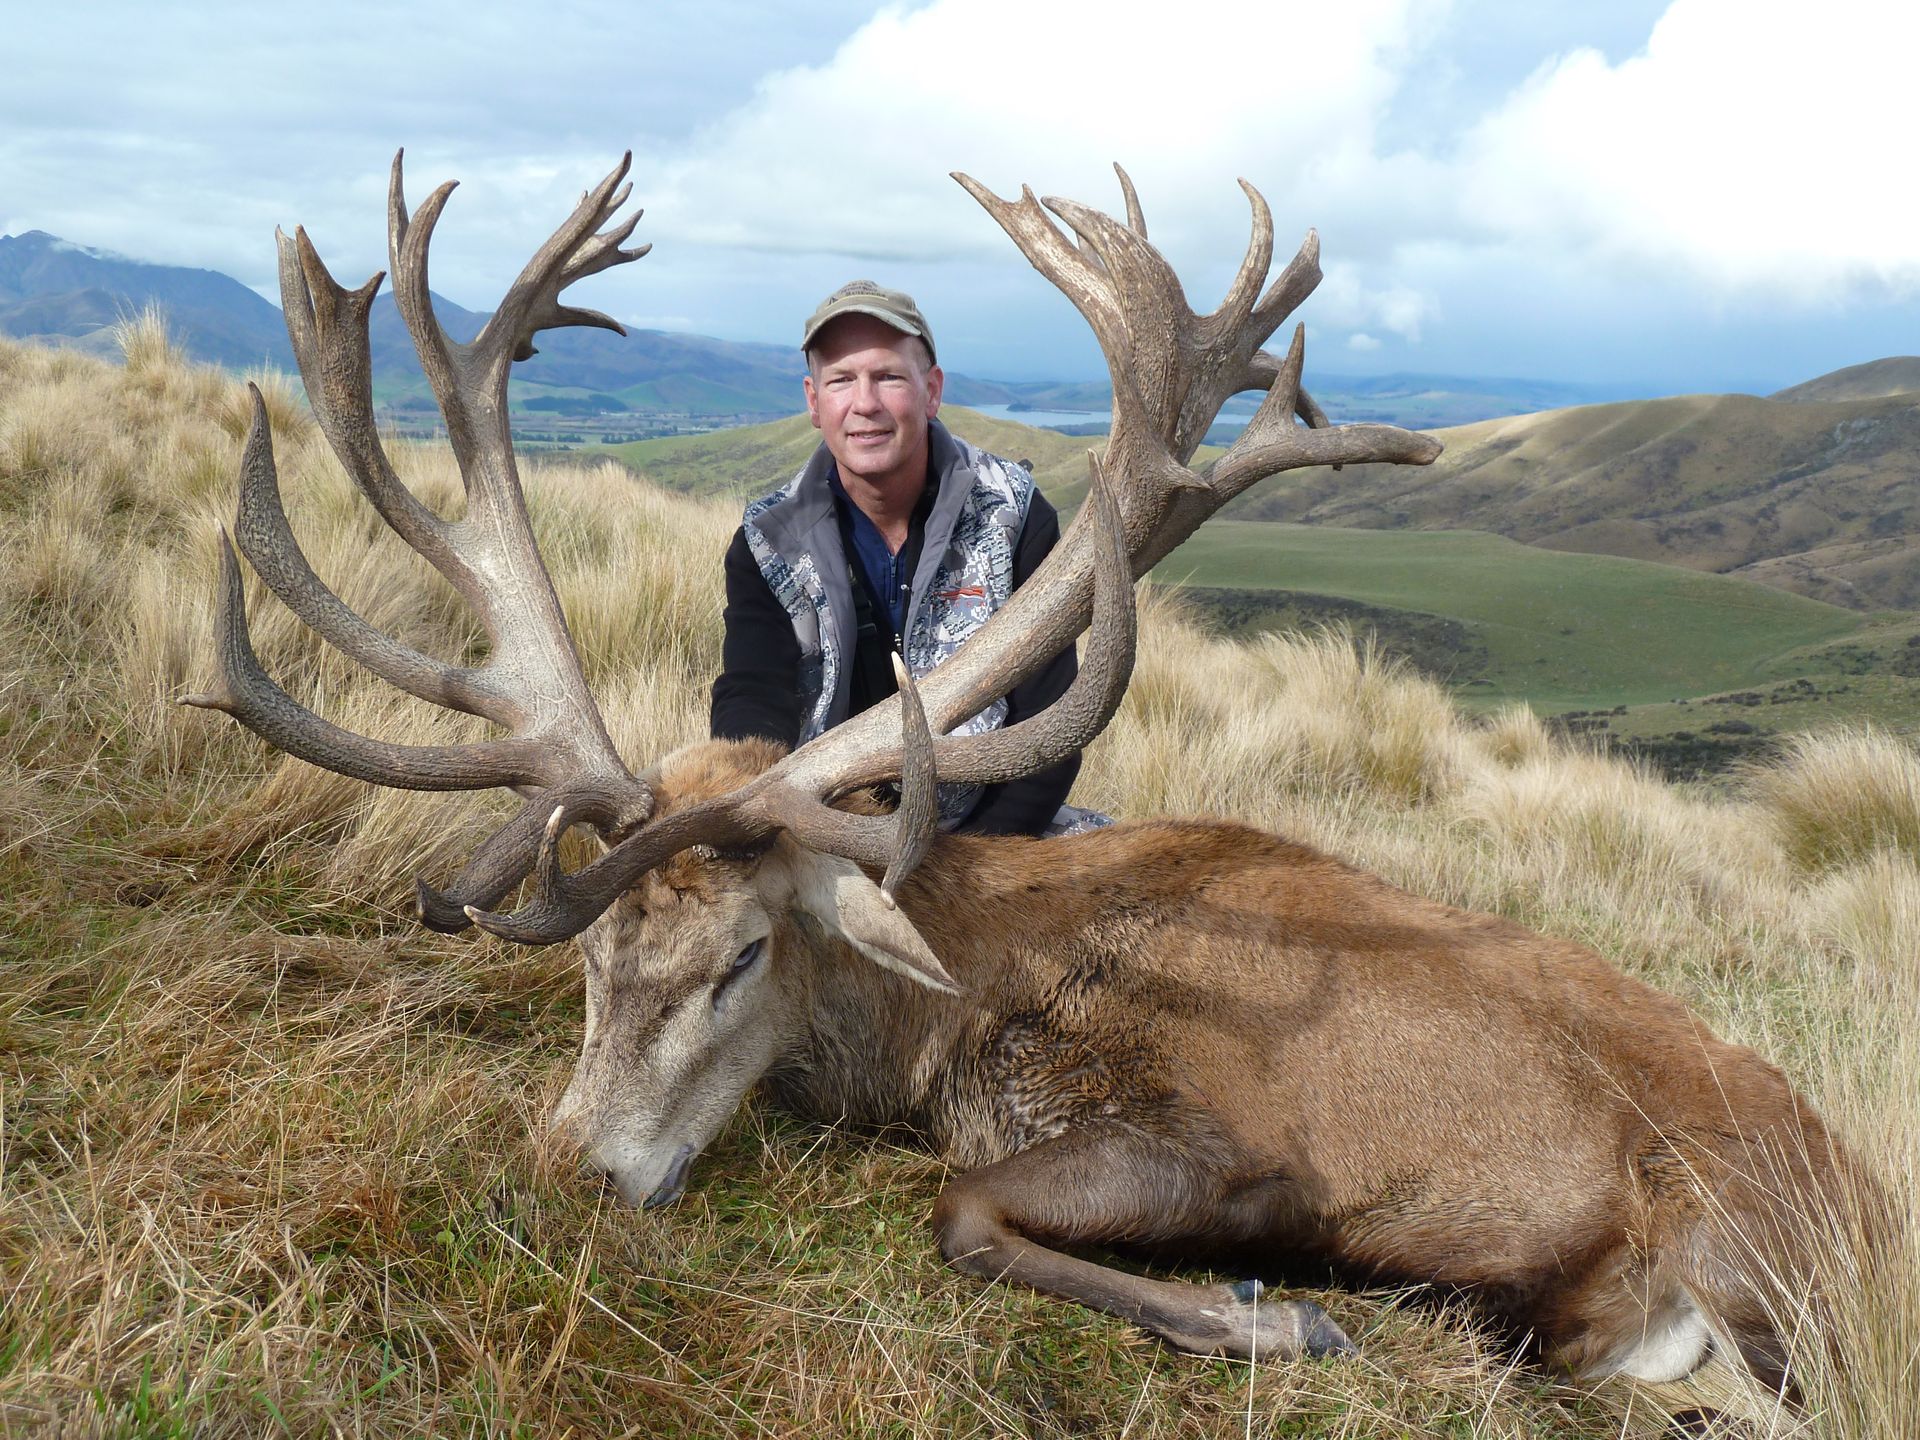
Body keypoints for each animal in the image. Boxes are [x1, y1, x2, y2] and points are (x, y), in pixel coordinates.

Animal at [185, 150, 1865, 1403]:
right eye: (595, 958)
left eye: (744, 956)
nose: (580, 1168)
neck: (944, 1025)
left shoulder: (1234, 1136)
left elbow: (966, 1207)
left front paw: (1279, 1314)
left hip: (1759, 1266)